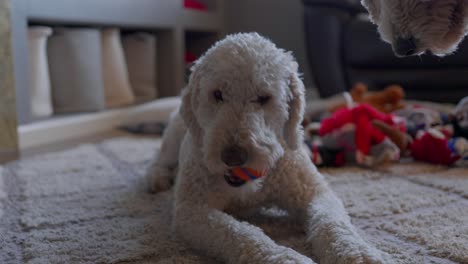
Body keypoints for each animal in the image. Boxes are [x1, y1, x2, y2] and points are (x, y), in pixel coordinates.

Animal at [147, 33, 392, 264]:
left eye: (263, 97)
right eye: (217, 94)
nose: (233, 157)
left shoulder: (313, 191)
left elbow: (332, 222)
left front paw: (358, 253)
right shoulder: (192, 210)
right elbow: (240, 234)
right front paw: (285, 258)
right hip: (174, 136)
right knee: (160, 159)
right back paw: (158, 178)